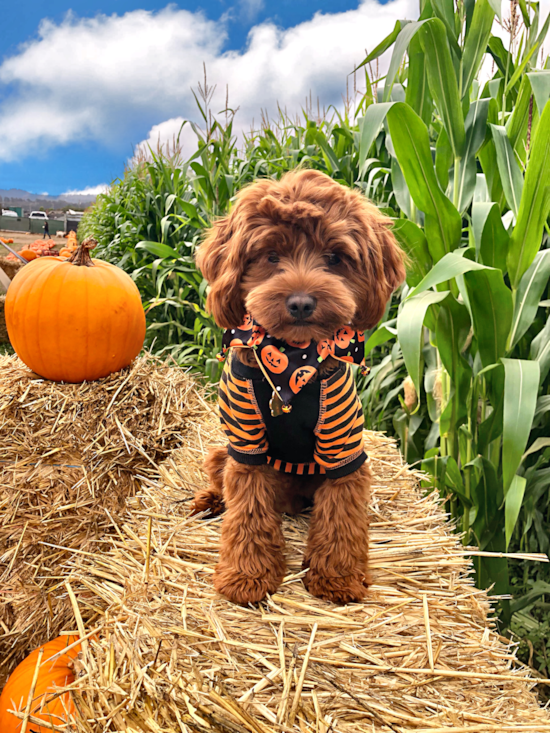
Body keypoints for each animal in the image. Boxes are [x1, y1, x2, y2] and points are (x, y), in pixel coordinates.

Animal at [193, 169, 406, 604]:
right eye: (271, 255)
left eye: (335, 258)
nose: (302, 303)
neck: (293, 358)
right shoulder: (245, 442)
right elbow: (247, 509)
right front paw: (246, 576)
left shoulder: (343, 446)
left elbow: (342, 513)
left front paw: (338, 578)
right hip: (219, 453)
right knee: (223, 481)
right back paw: (209, 501)